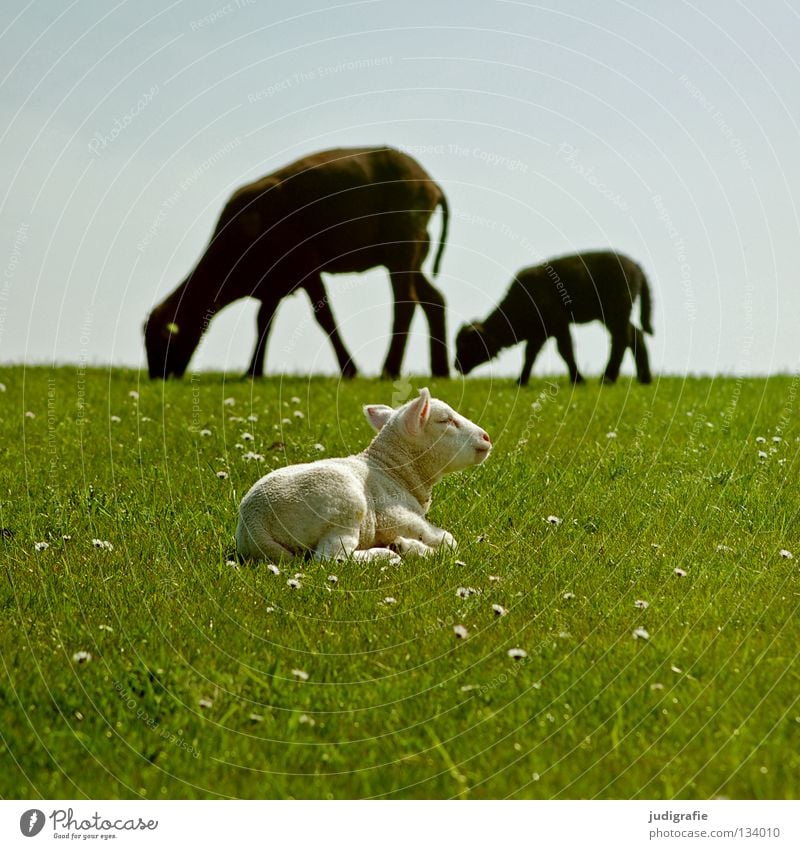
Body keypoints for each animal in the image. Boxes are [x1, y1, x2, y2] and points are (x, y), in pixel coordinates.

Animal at [144, 146, 450, 378]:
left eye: (160, 343)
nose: (158, 378)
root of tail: (428, 182)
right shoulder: (273, 281)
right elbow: (263, 321)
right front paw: (253, 372)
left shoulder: (305, 264)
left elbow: (323, 317)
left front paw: (350, 370)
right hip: (412, 252)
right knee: (434, 299)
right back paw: (441, 370)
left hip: (402, 245)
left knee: (405, 302)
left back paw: (390, 370)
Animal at [234, 386, 490, 560]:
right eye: (446, 420)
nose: (486, 437)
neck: (394, 471)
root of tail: (255, 525)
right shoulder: (393, 516)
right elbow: (449, 541)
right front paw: (410, 547)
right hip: (345, 505)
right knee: (331, 558)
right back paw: (385, 556)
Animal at [454, 250, 652, 386]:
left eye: (466, 344)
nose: (456, 366)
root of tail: (636, 266)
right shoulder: (539, 333)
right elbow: (530, 355)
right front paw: (521, 381)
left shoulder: (558, 324)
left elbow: (565, 351)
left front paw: (578, 380)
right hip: (615, 314)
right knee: (636, 335)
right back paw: (644, 378)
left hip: (615, 312)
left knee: (621, 339)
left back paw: (608, 378)